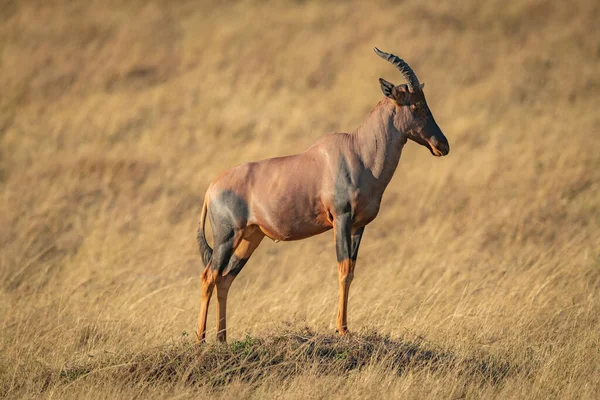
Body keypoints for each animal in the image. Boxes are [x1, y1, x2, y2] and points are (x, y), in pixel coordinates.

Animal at [197, 47, 450, 340]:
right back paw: (200, 339)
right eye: (415, 105)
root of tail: (211, 189)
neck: (358, 151)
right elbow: (343, 269)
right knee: (209, 276)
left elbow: (351, 270)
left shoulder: (359, 225)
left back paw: (222, 339)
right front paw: (342, 329)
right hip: (227, 237)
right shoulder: (341, 218)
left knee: (225, 279)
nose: (443, 145)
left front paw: (346, 327)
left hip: (251, 238)